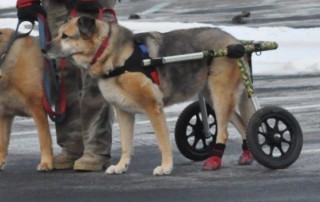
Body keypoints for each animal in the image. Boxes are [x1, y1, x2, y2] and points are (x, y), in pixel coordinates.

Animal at [44, 17, 255, 175]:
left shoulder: (154, 109)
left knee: (224, 131)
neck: (110, 54)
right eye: (58, 34)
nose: (43, 49)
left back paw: (214, 160)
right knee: (242, 123)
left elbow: (163, 143)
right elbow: (126, 145)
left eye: (65, 36)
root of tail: (236, 42)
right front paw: (121, 166)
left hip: (220, 97)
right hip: (213, 97)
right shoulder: (124, 113)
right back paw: (248, 154)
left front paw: (166, 167)